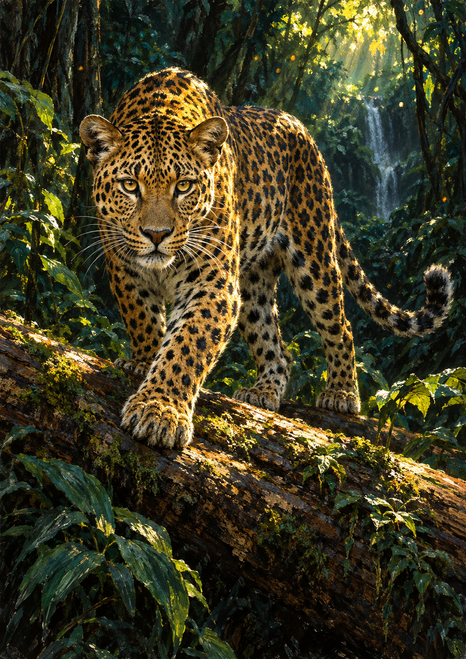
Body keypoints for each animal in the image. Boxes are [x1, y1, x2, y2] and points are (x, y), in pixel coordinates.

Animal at [80, 67, 453, 450]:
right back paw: (265, 391)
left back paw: (341, 393)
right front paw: (143, 363)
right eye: (129, 185)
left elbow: (186, 346)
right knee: (276, 344)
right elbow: (142, 320)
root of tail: (299, 126)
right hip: (253, 283)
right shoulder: (124, 268)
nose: (157, 235)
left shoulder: (213, 285)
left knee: (341, 325)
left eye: (183, 186)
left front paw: (159, 410)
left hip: (314, 256)